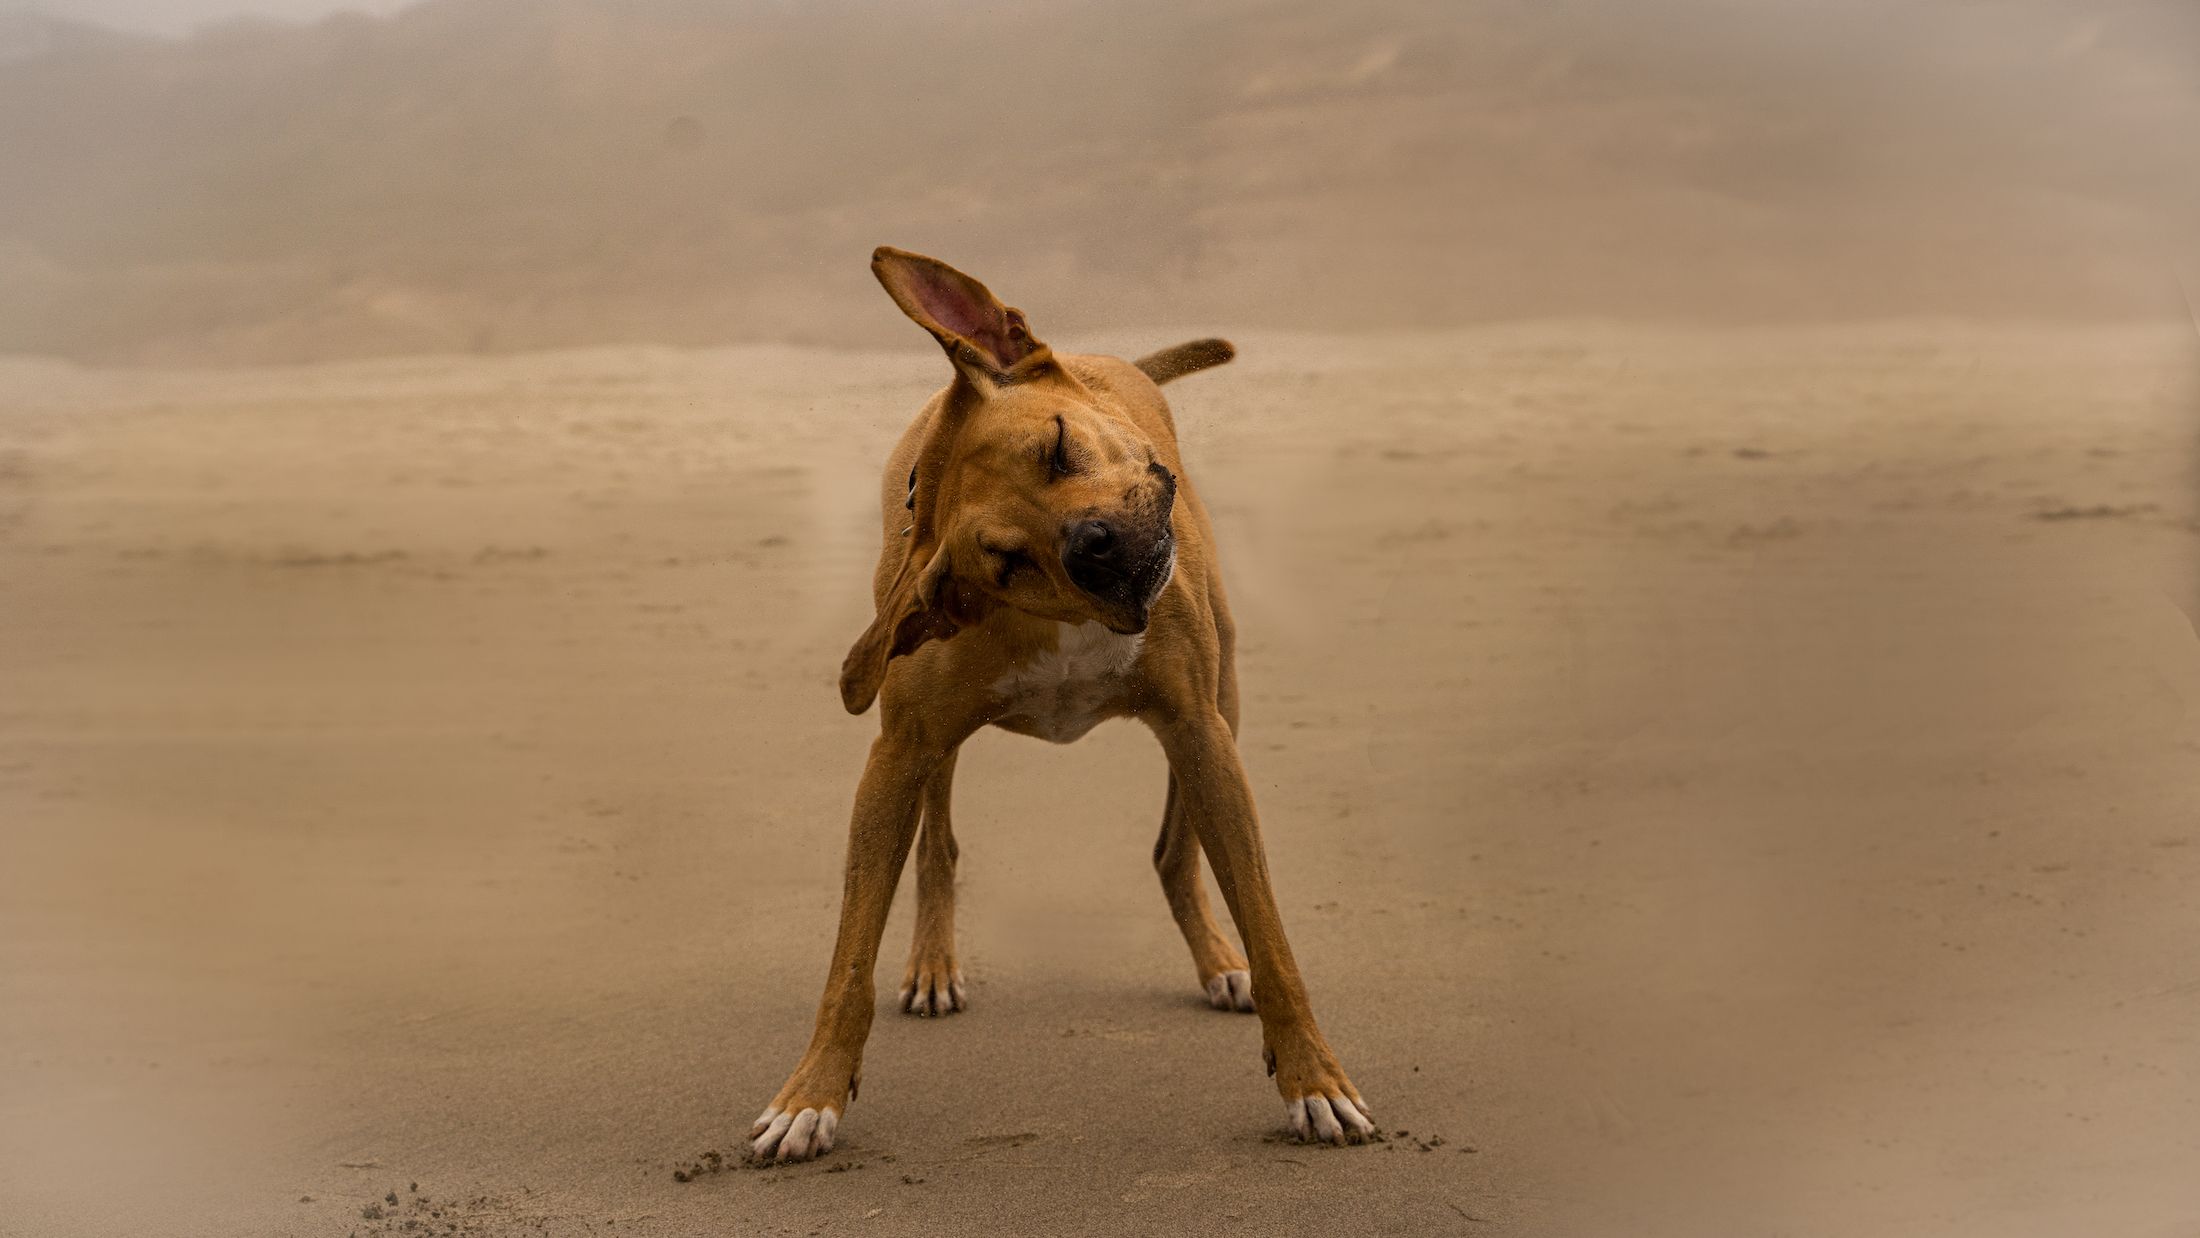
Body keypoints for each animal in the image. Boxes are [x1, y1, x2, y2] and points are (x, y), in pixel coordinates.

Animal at [756, 249, 1372, 1161]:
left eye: (1055, 447)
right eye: (1007, 560)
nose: (1096, 545)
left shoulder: (1201, 729)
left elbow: (1271, 934)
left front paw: (1315, 1082)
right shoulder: (896, 753)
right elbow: (849, 958)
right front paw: (811, 1095)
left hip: (1222, 702)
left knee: (1174, 852)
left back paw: (1218, 960)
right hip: (931, 749)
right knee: (939, 846)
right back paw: (933, 964)